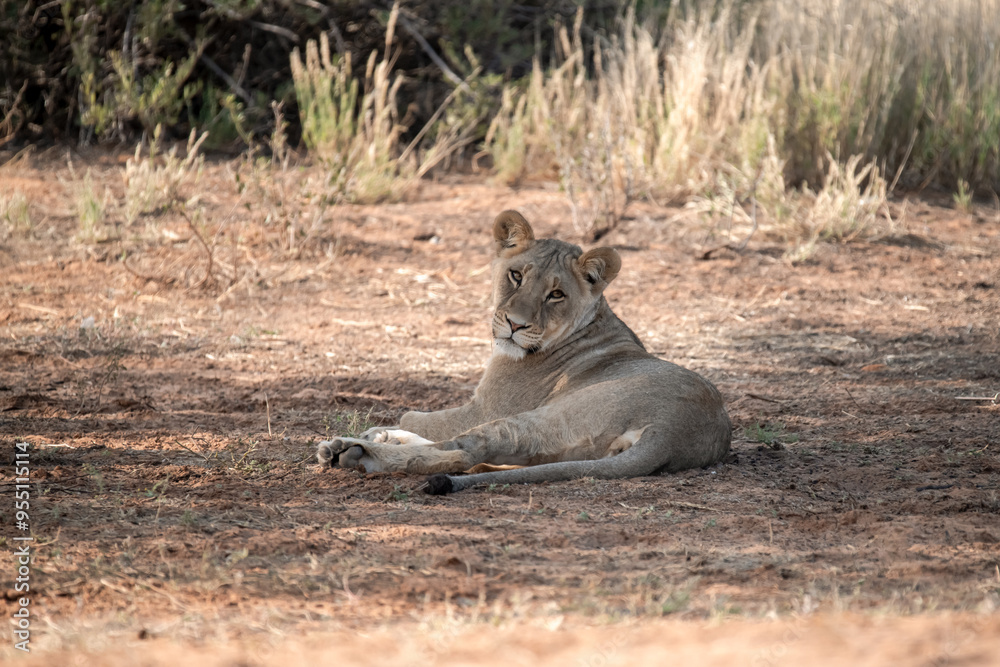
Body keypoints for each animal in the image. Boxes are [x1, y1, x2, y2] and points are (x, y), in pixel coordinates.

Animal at [317, 210, 731, 494]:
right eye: (516, 276)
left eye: (556, 294)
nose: (515, 325)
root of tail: (677, 432)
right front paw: (382, 433)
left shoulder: (486, 407)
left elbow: (416, 416)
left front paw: (375, 434)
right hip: (568, 449)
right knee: (487, 460)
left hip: (547, 417)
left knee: (467, 448)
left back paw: (355, 453)